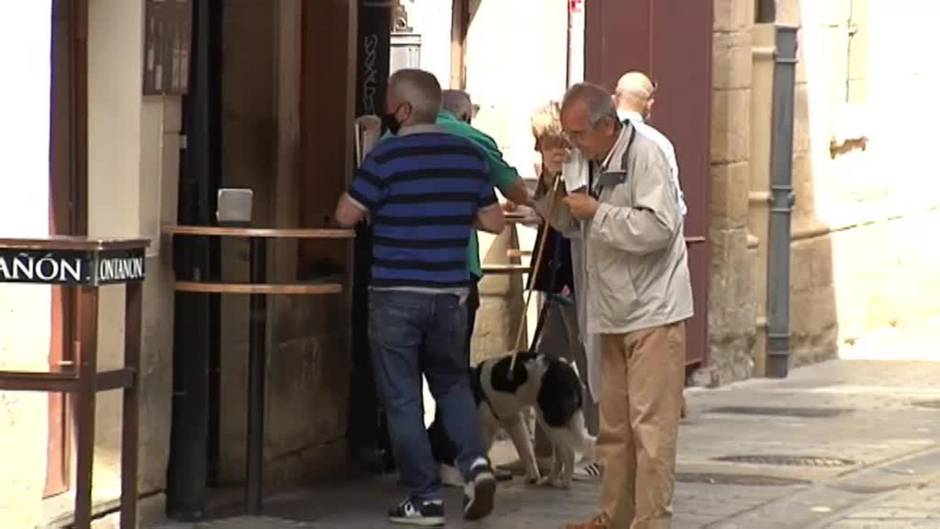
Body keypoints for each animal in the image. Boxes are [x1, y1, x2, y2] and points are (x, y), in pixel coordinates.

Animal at [428, 350, 596, 486]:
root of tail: (569, 371)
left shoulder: (486, 428)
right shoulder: (513, 421)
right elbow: (526, 451)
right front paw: (532, 477)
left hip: (551, 419)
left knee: (569, 452)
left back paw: (565, 483)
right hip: (551, 421)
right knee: (560, 453)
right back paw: (550, 480)